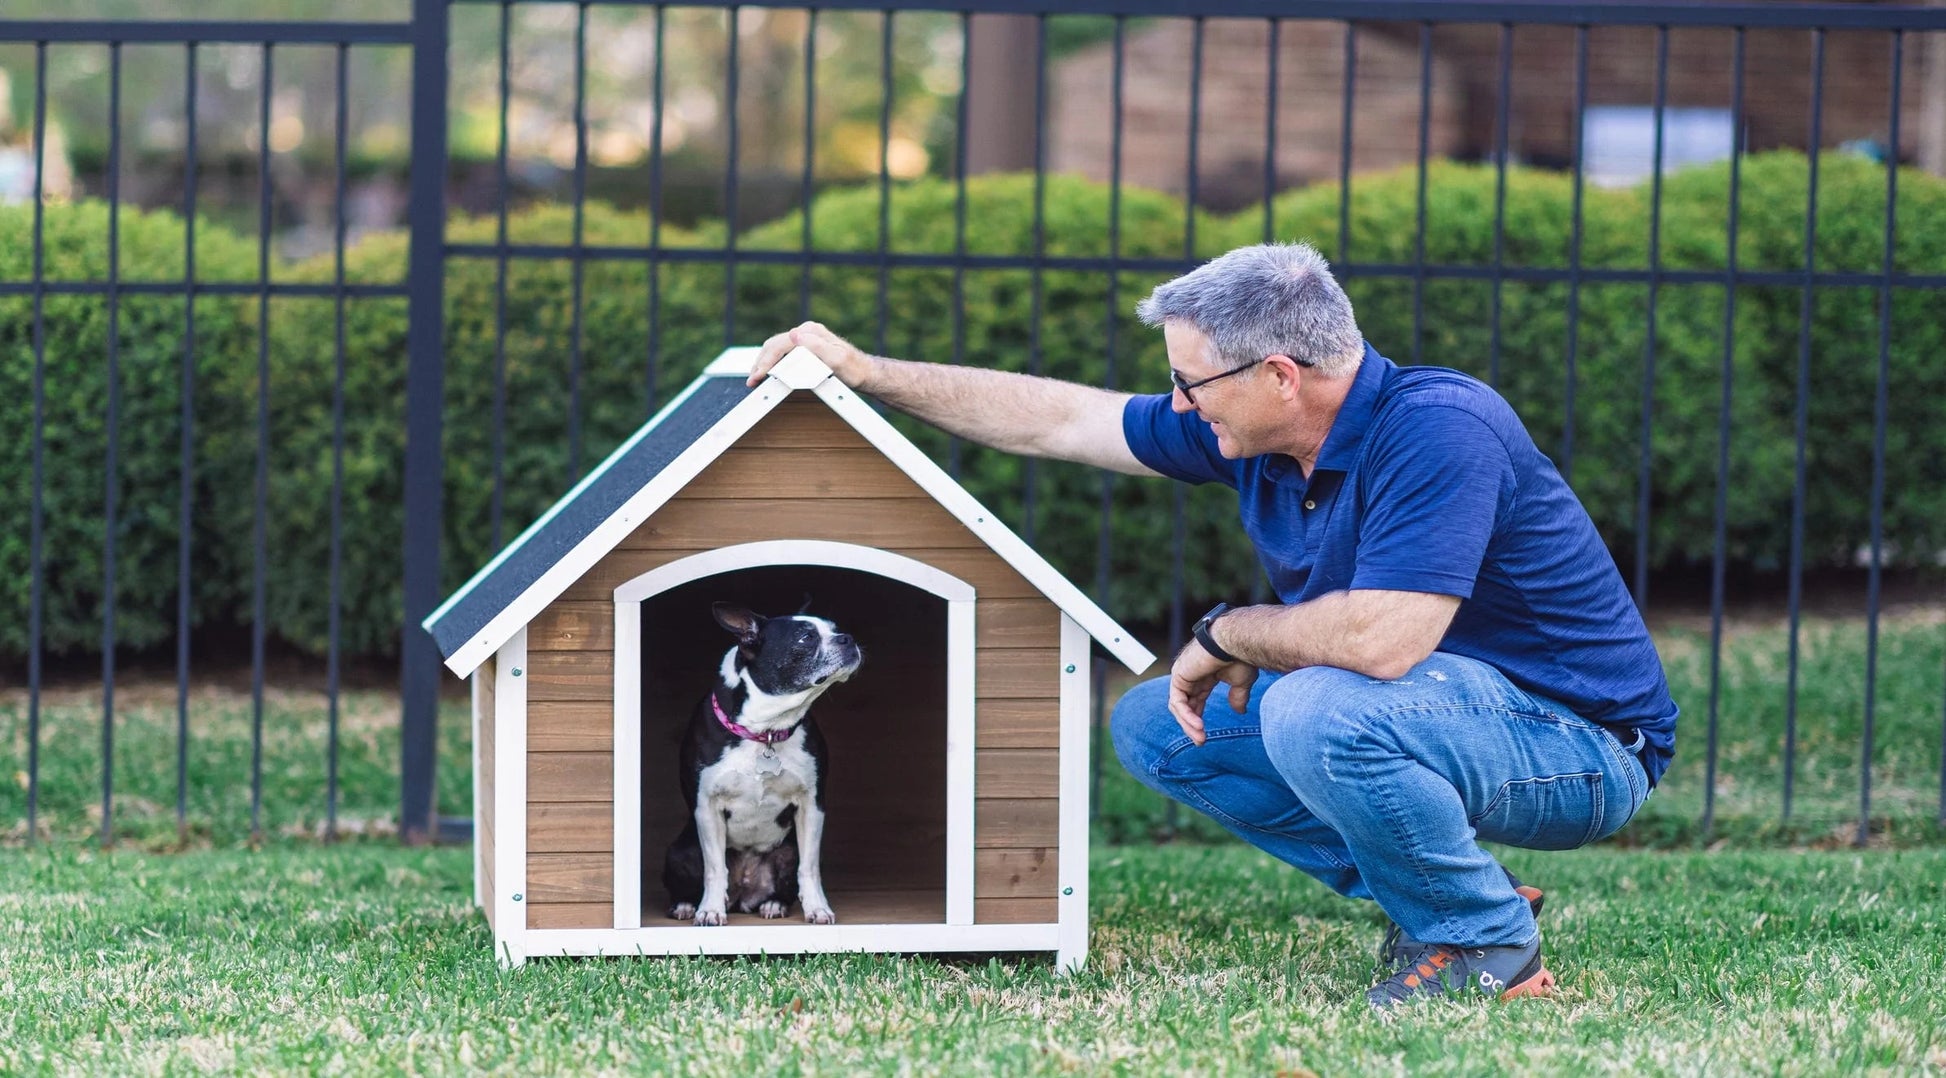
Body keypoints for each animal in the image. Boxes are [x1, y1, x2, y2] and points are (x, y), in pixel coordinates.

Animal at [661, 599, 860, 918]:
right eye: (806, 638)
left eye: (835, 629)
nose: (848, 639)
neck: (765, 730)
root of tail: (744, 894)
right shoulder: (707, 805)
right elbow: (714, 869)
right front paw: (710, 911)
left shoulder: (812, 804)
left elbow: (810, 867)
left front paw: (817, 908)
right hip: (680, 851)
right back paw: (686, 905)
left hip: (787, 851)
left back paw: (773, 903)